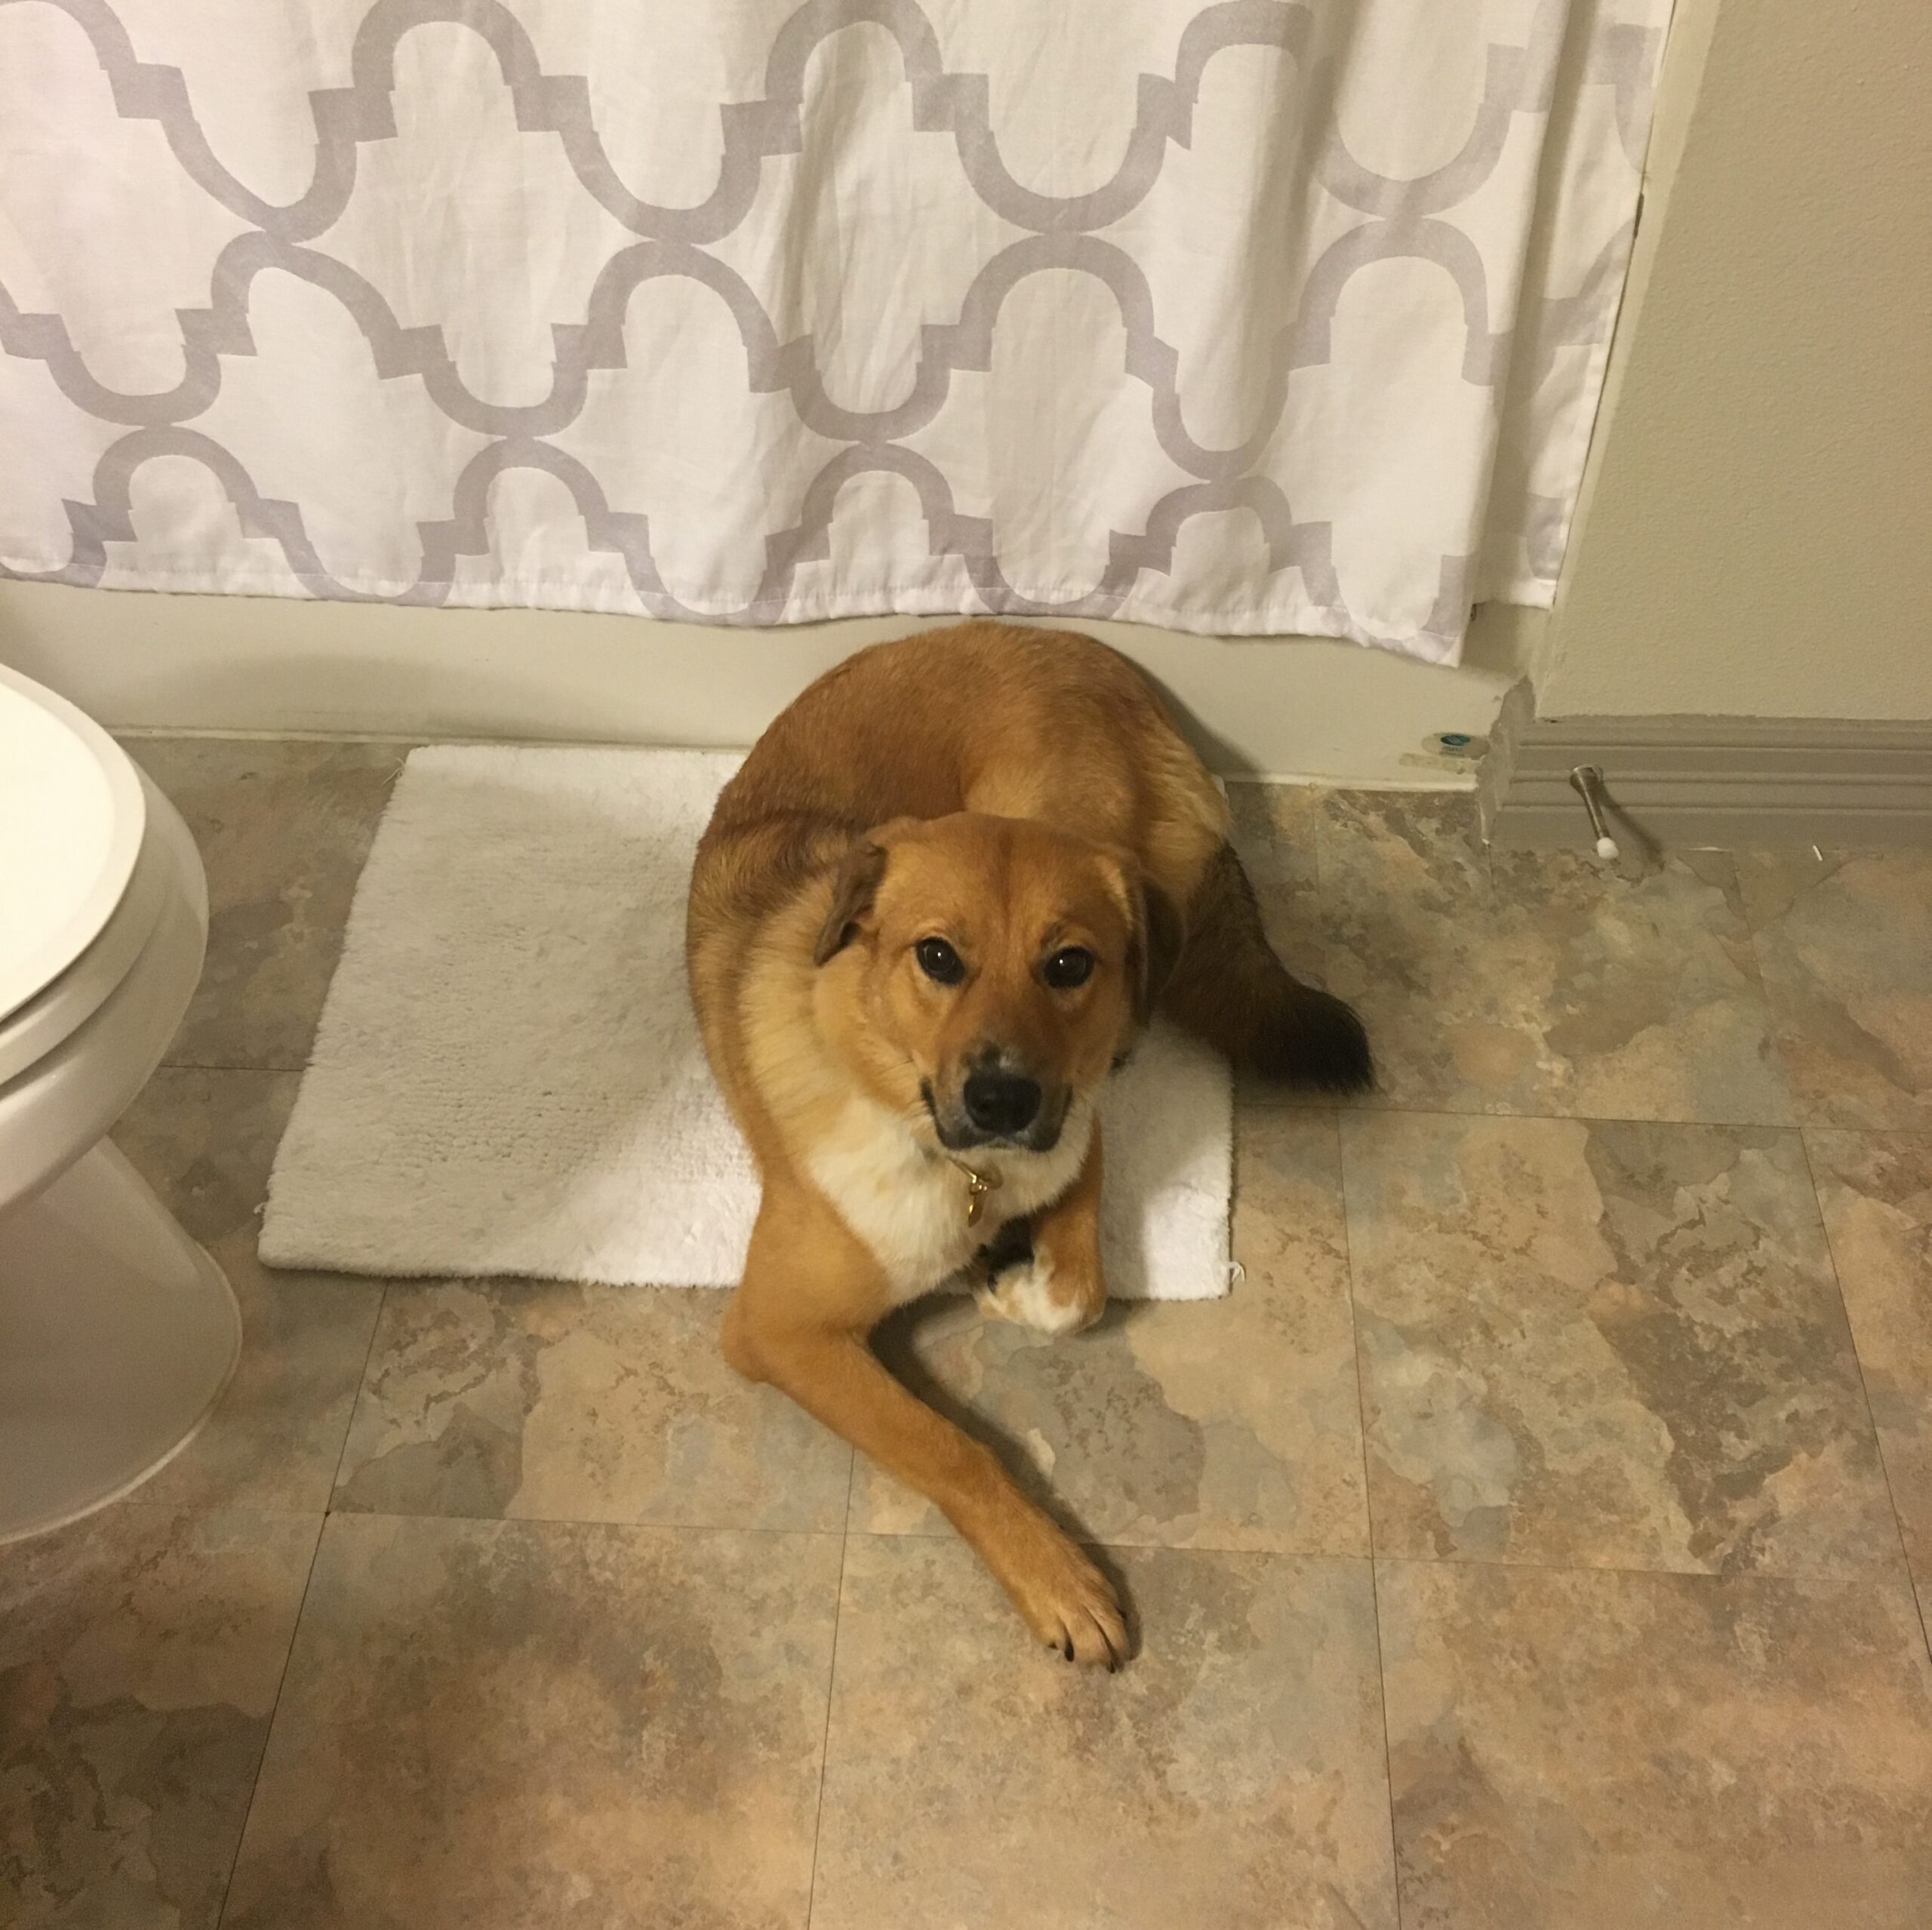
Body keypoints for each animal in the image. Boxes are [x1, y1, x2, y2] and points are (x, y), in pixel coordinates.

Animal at [688, 626, 1367, 1669]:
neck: (961, 1164)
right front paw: (1056, 1578)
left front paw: (1013, 1287)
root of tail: (1096, 658)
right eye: (936, 957)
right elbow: (950, 1446)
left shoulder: (1075, 1127)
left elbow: (1082, 1290)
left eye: (1067, 964)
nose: (1003, 1098)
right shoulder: (779, 1330)